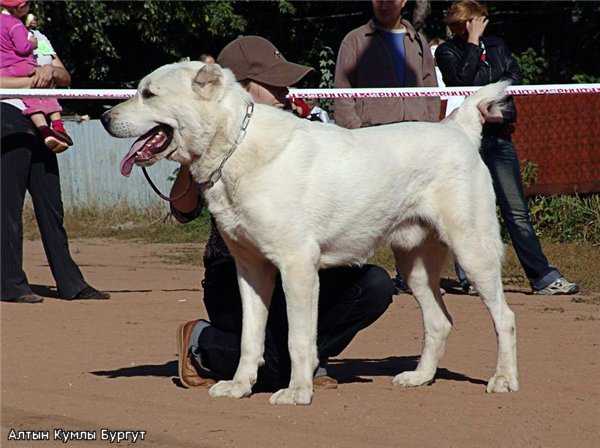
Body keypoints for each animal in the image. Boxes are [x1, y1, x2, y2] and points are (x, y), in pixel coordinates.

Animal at [102, 62, 516, 406]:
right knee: (439, 322)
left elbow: (298, 338)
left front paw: (298, 391)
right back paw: (420, 378)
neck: (236, 146)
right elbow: (250, 338)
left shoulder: (297, 266)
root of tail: (456, 129)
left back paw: (503, 380)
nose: (105, 117)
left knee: (505, 317)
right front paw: (240, 386)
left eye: (149, 94)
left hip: (473, 251)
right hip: (414, 265)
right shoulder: (251, 270)